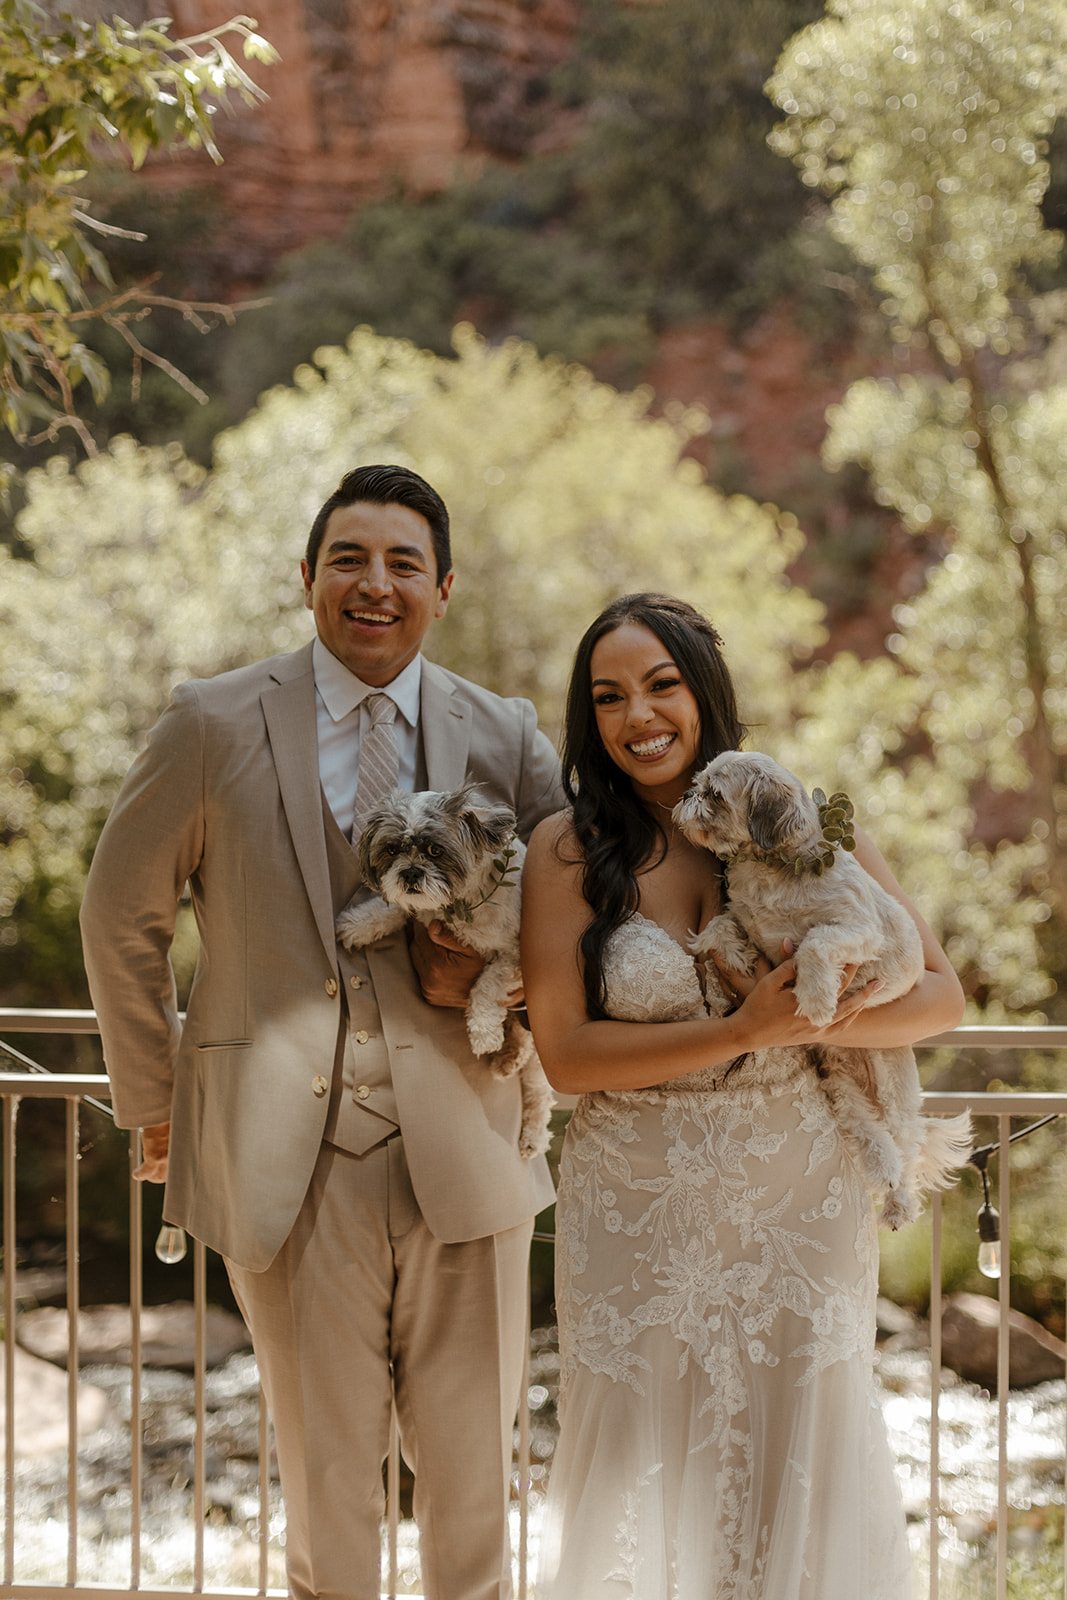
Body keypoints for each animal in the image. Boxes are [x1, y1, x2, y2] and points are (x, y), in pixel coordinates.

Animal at [681, 748, 972, 1222]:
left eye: (715, 794)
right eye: (697, 784)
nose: (687, 795)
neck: (768, 869)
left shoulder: (858, 930)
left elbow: (814, 943)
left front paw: (816, 999)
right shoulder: (742, 917)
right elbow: (719, 927)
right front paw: (735, 955)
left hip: (892, 1093)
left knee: (906, 1152)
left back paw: (899, 1205)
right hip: (843, 1091)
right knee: (876, 1142)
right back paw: (884, 1177)